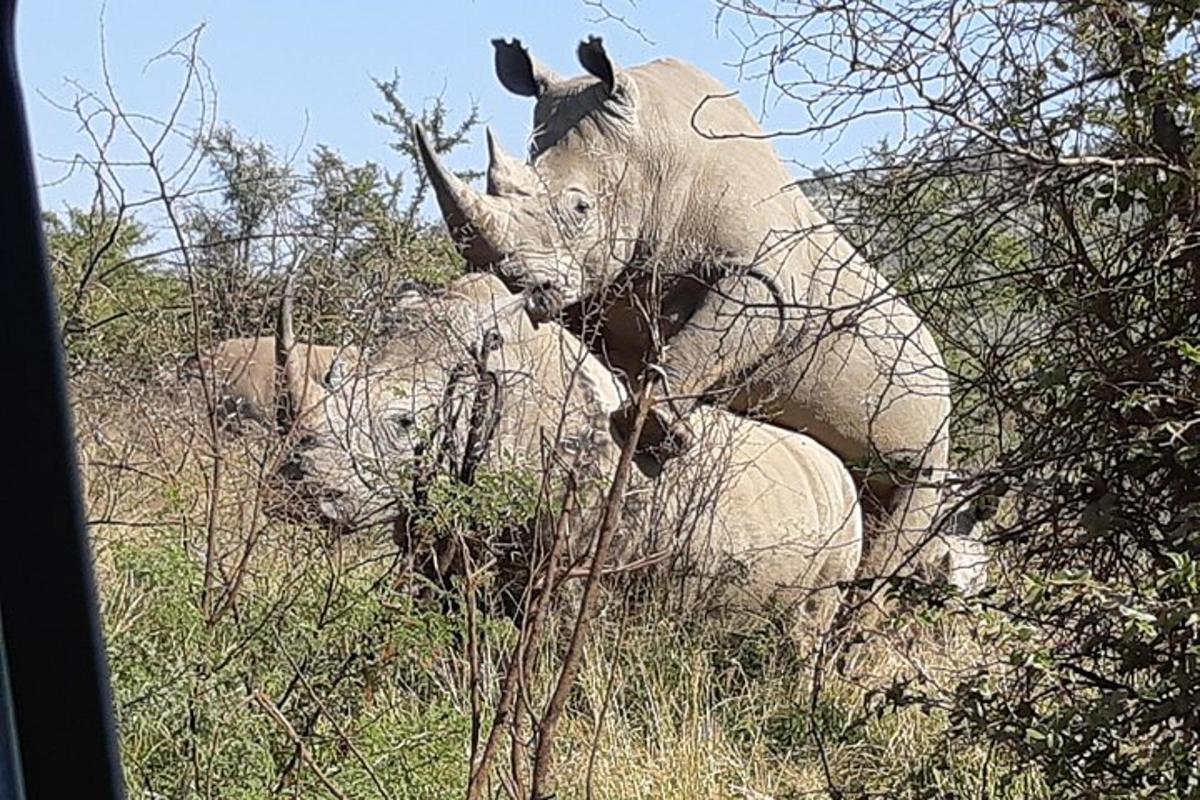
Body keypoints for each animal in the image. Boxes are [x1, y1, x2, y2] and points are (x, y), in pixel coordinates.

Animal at [417, 35, 960, 582]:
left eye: (580, 208)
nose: (506, 279)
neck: (657, 147)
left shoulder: (765, 275)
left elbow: (711, 336)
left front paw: (652, 428)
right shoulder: (604, 285)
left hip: (935, 422)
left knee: (909, 504)